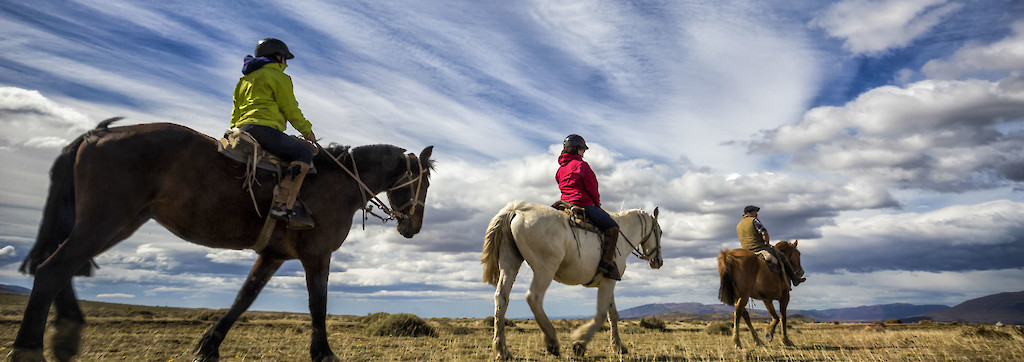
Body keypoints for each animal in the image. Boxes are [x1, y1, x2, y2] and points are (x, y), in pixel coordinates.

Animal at [12, 119, 436, 362]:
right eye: (425, 183)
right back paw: (29, 348)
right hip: (105, 221)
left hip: (118, 223)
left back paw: (65, 335)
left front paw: (208, 346)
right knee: (52, 270)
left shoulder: (272, 255)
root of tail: (96, 134)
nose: (413, 227)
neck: (337, 183)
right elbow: (318, 303)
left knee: (59, 269)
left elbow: (244, 297)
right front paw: (323, 353)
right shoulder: (317, 255)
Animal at [479, 200, 663, 359]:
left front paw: (618, 346)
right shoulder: (608, 282)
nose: (658, 261)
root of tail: (518, 211)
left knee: (501, 298)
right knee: (534, 297)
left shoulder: (608, 281)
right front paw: (580, 343)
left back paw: (502, 350)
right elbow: (601, 313)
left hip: (510, 262)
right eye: (660, 232)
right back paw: (552, 342)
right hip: (545, 269)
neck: (623, 236)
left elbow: (613, 315)